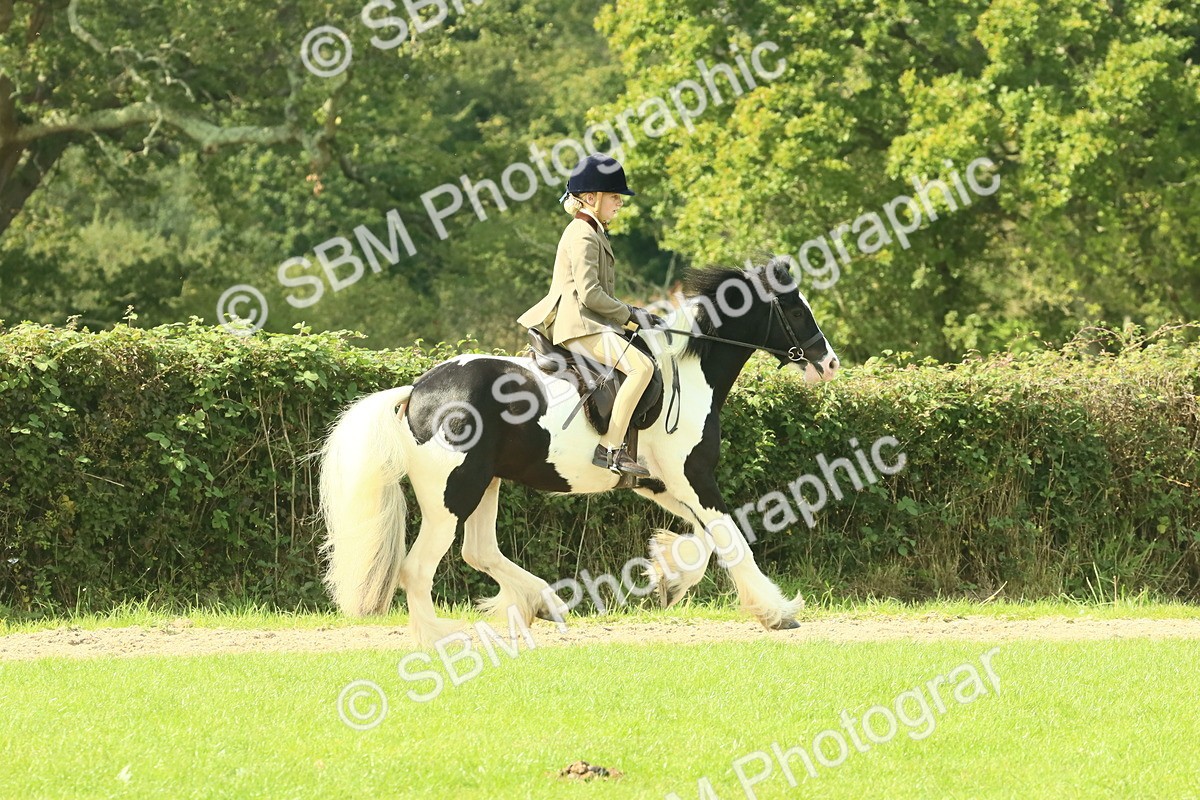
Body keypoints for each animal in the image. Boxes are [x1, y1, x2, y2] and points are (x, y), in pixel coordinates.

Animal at [318, 257, 840, 645]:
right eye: (796, 311)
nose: (830, 363)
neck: (690, 371)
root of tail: (417, 392)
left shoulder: (660, 483)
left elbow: (707, 538)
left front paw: (668, 578)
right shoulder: (693, 476)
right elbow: (732, 539)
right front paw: (777, 612)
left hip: (485, 483)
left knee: (479, 551)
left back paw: (543, 602)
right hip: (452, 493)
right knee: (419, 568)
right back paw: (441, 638)